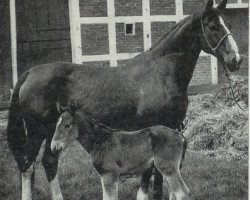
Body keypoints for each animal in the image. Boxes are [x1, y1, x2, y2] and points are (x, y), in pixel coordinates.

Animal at [51, 111, 190, 200]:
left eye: (67, 125)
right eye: (56, 125)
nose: (54, 147)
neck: (101, 140)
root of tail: (180, 136)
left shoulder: (109, 174)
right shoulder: (104, 176)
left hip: (167, 168)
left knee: (182, 193)